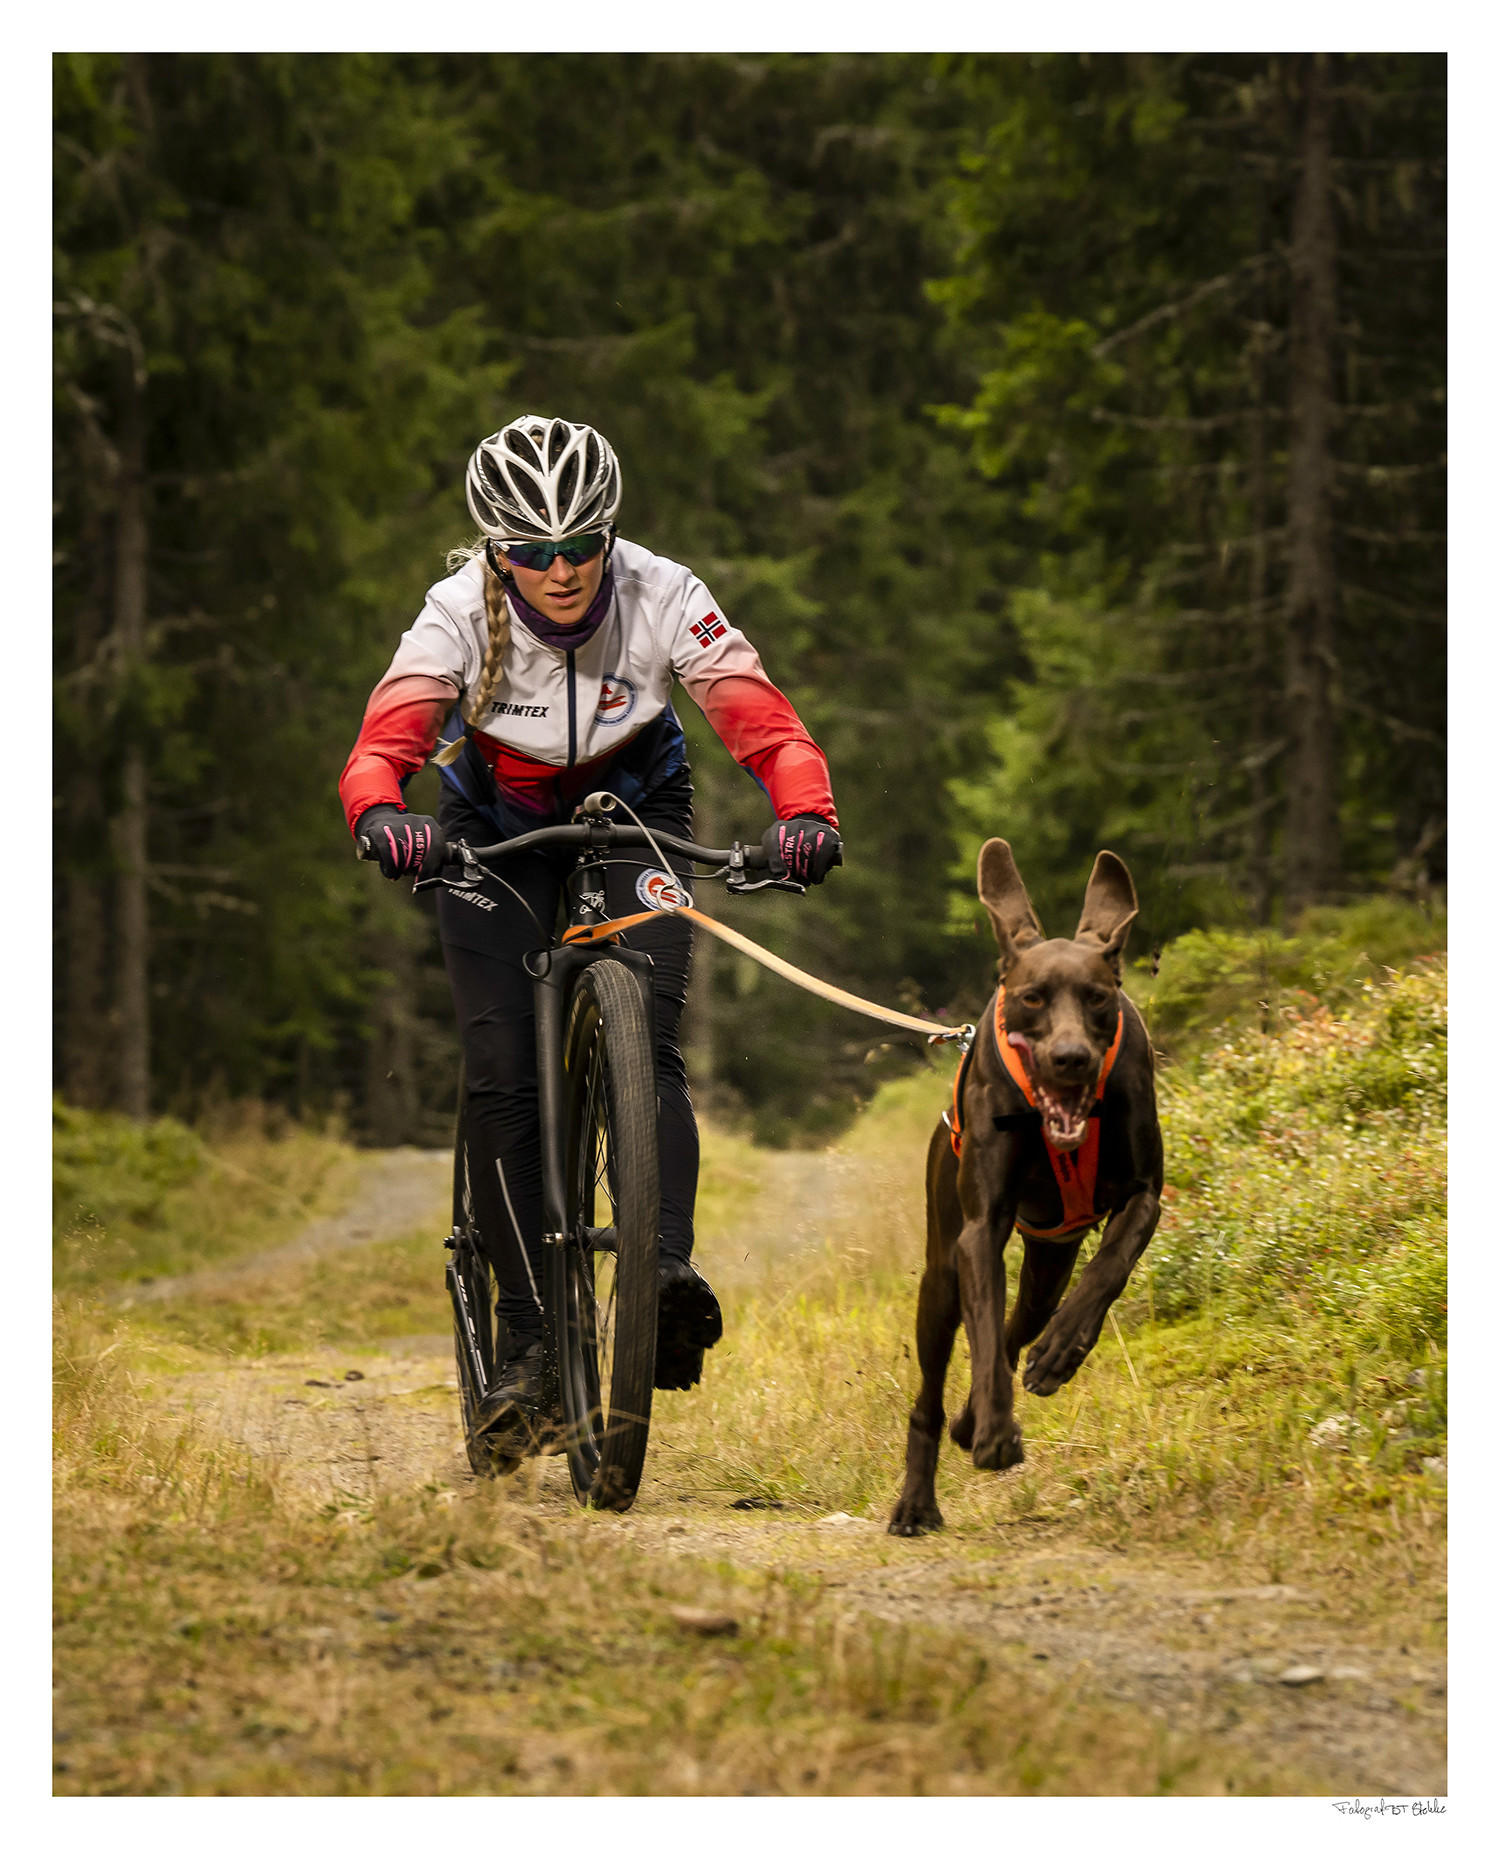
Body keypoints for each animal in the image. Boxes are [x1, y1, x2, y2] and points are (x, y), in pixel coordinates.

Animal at [884, 839, 1168, 1530]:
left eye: (1097, 998)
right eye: (1034, 998)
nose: (1071, 1058)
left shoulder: (1145, 1194)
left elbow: (1109, 1269)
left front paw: (1061, 1351)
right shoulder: (980, 1232)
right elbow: (986, 1334)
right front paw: (993, 1432)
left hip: (1050, 1258)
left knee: (1024, 1325)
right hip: (940, 1278)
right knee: (935, 1385)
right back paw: (918, 1497)